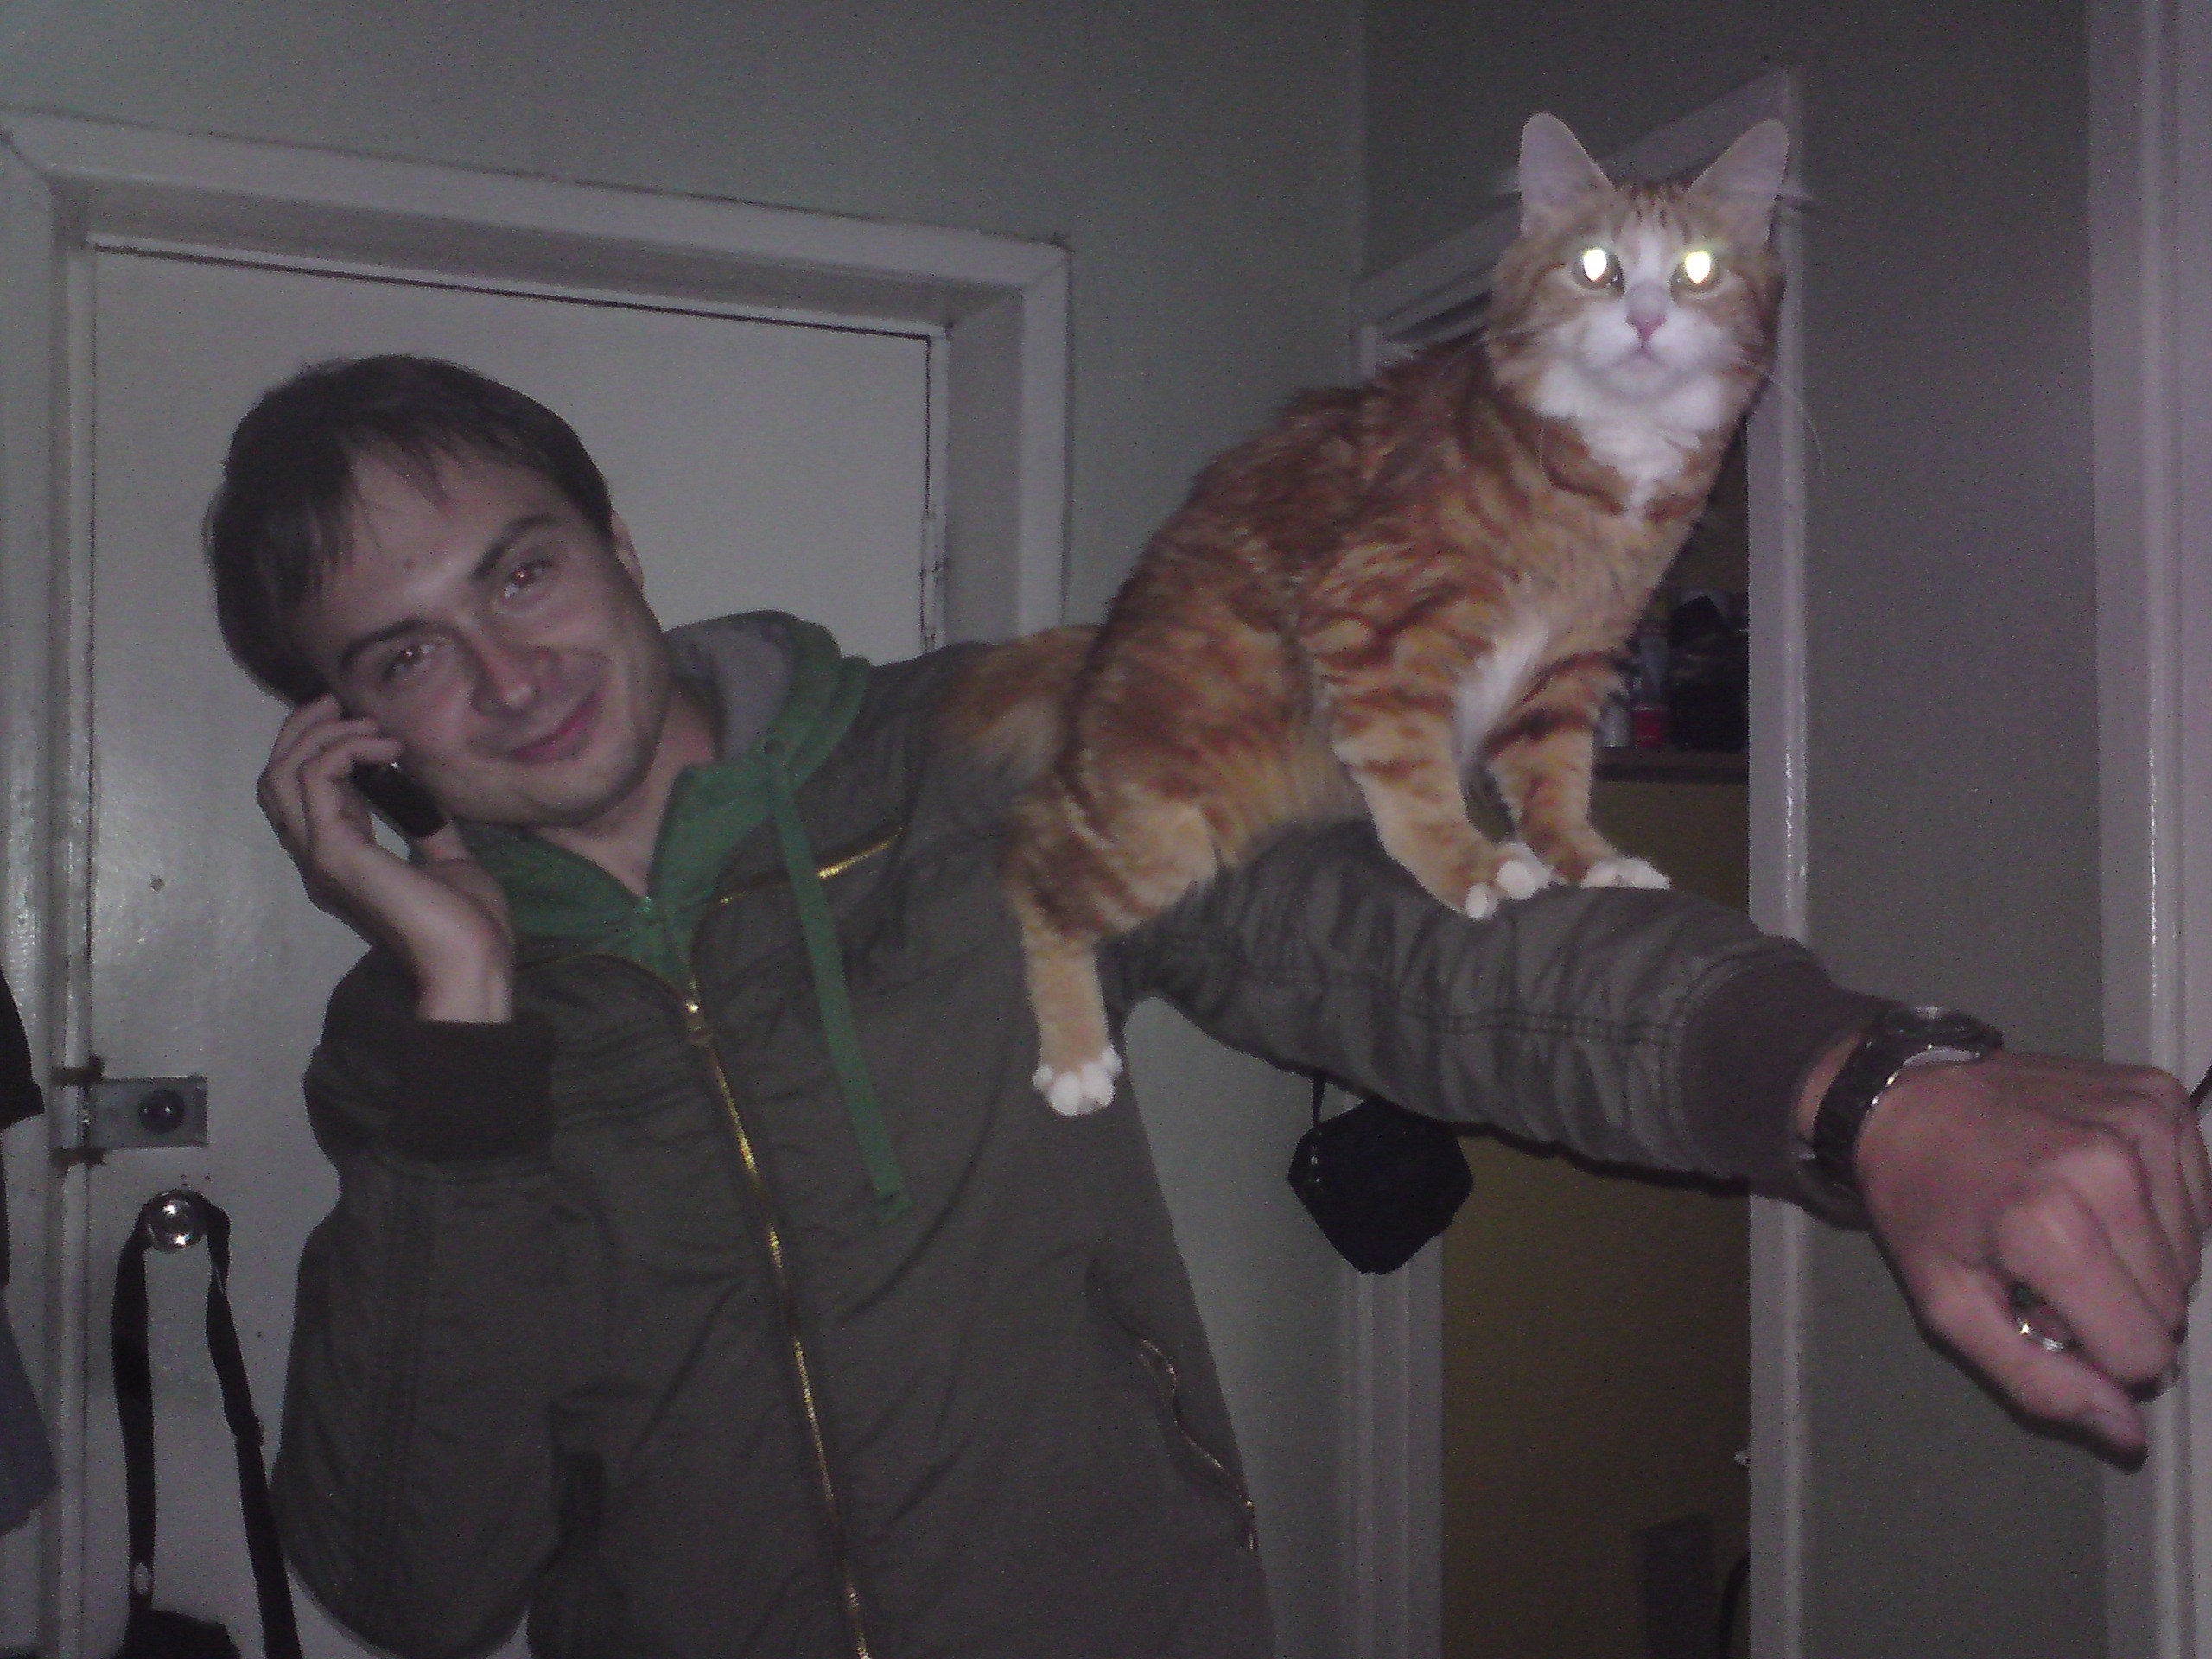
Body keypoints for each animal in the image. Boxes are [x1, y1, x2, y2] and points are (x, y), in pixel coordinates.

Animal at [946, 113, 1789, 1116]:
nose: (1649, 320)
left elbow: (1554, 778)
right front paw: (1470, 864)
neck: (1604, 467)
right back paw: (1075, 1058)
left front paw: (1586, 858)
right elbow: (1411, 776)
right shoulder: (1372, 618)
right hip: (1162, 831)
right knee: (1027, 858)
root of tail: (1091, 673)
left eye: (1698, 269)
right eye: (1597, 266)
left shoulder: (1572, 661)